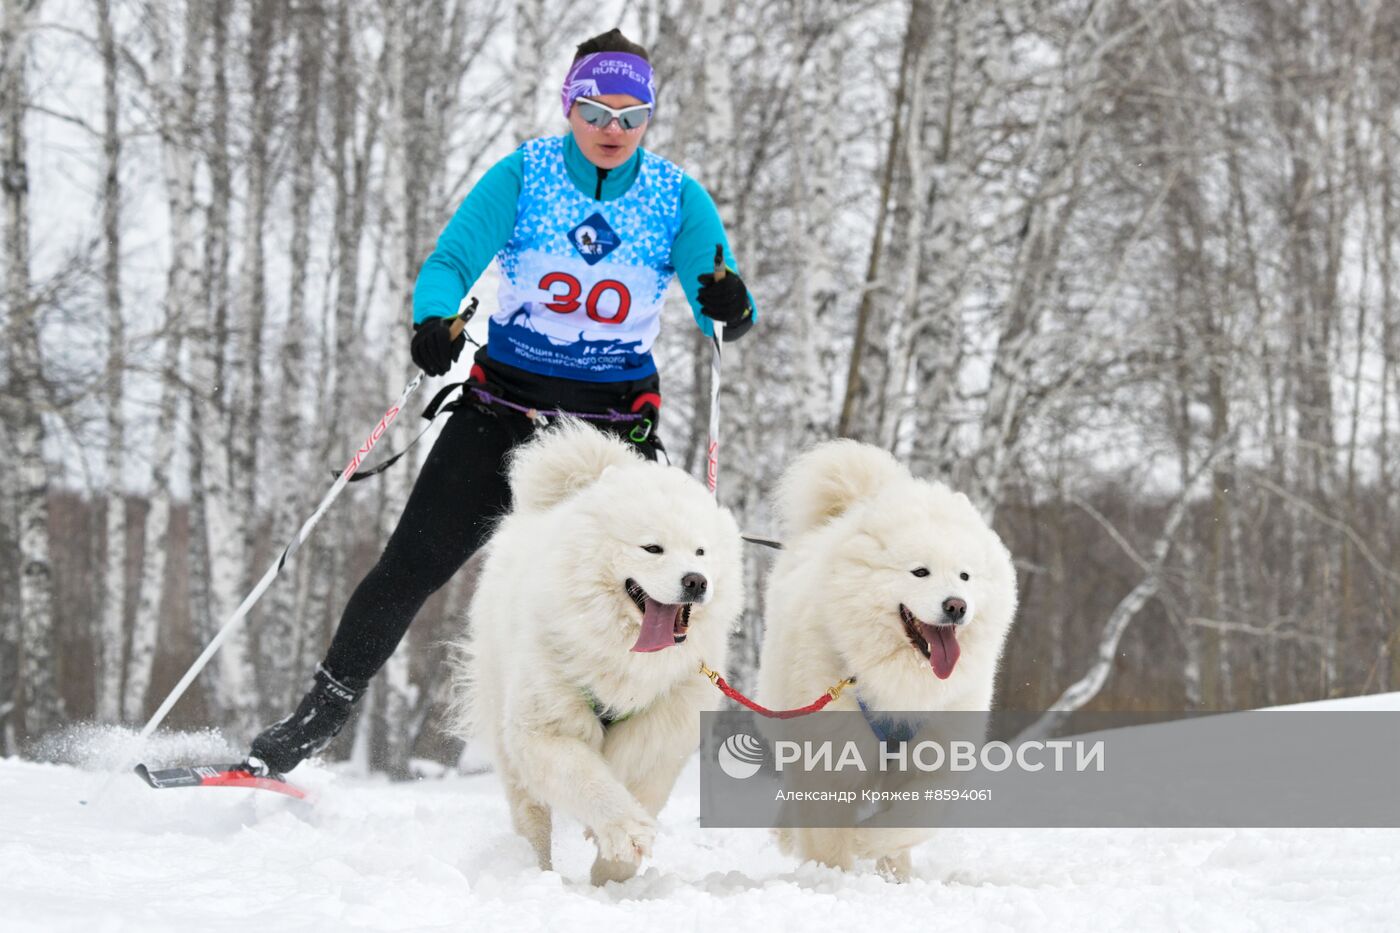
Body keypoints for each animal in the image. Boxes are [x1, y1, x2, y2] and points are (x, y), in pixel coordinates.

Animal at [456, 420, 744, 879]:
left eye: (701, 551)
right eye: (652, 548)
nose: (696, 580)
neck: (625, 659)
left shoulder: (663, 732)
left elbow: (642, 786)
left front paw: (611, 876)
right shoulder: (546, 728)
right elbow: (589, 780)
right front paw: (625, 831)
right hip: (508, 729)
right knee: (531, 816)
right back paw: (535, 871)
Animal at [761, 439, 1013, 874]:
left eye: (965, 576)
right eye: (920, 572)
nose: (957, 606)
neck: (901, 684)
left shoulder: (938, 751)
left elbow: (913, 819)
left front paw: (870, 845)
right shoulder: (830, 754)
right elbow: (827, 835)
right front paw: (831, 876)